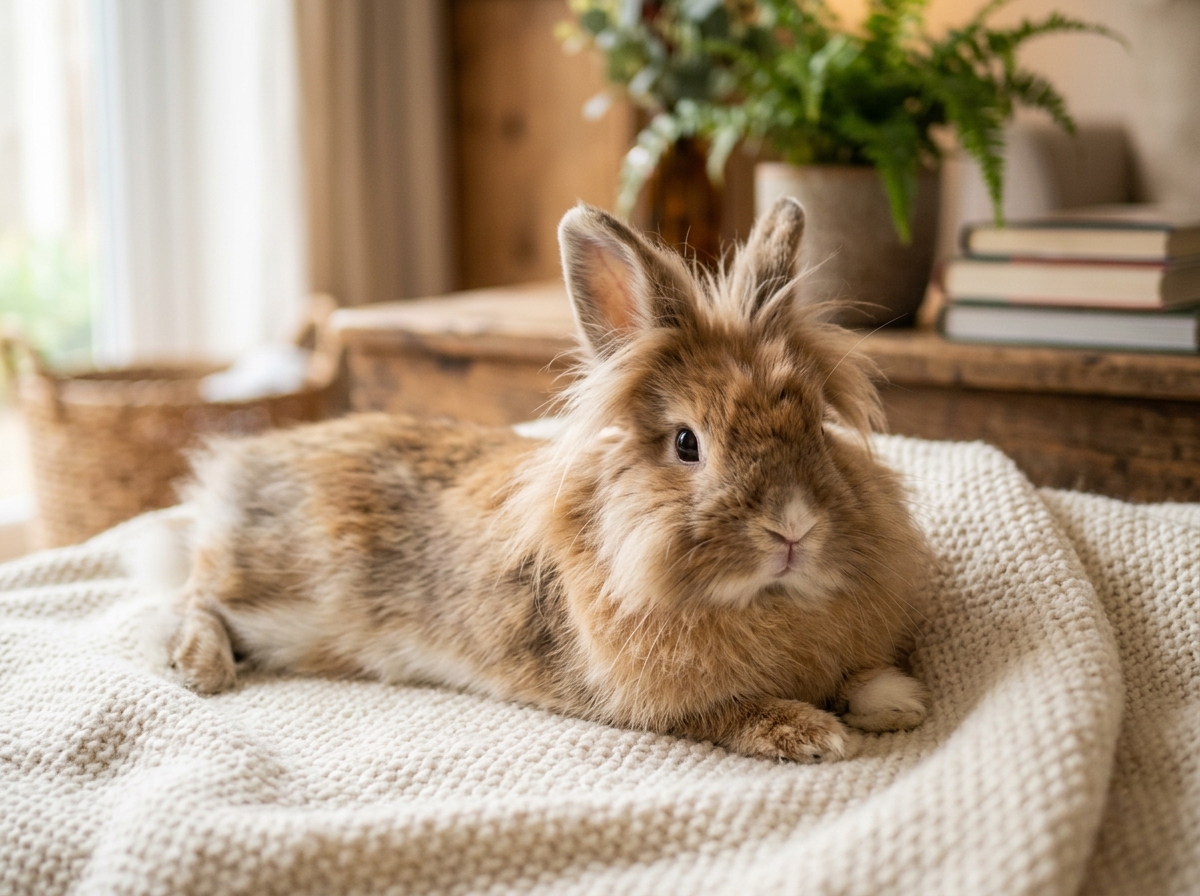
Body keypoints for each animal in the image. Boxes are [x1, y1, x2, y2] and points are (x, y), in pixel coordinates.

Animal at [169, 197, 931, 763]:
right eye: (687, 443)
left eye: (817, 429)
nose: (793, 528)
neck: (765, 603)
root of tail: (237, 470)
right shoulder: (649, 702)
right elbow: (729, 713)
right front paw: (814, 733)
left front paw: (897, 699)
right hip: (274, 593)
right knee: (194, 595)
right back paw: (200, 668)